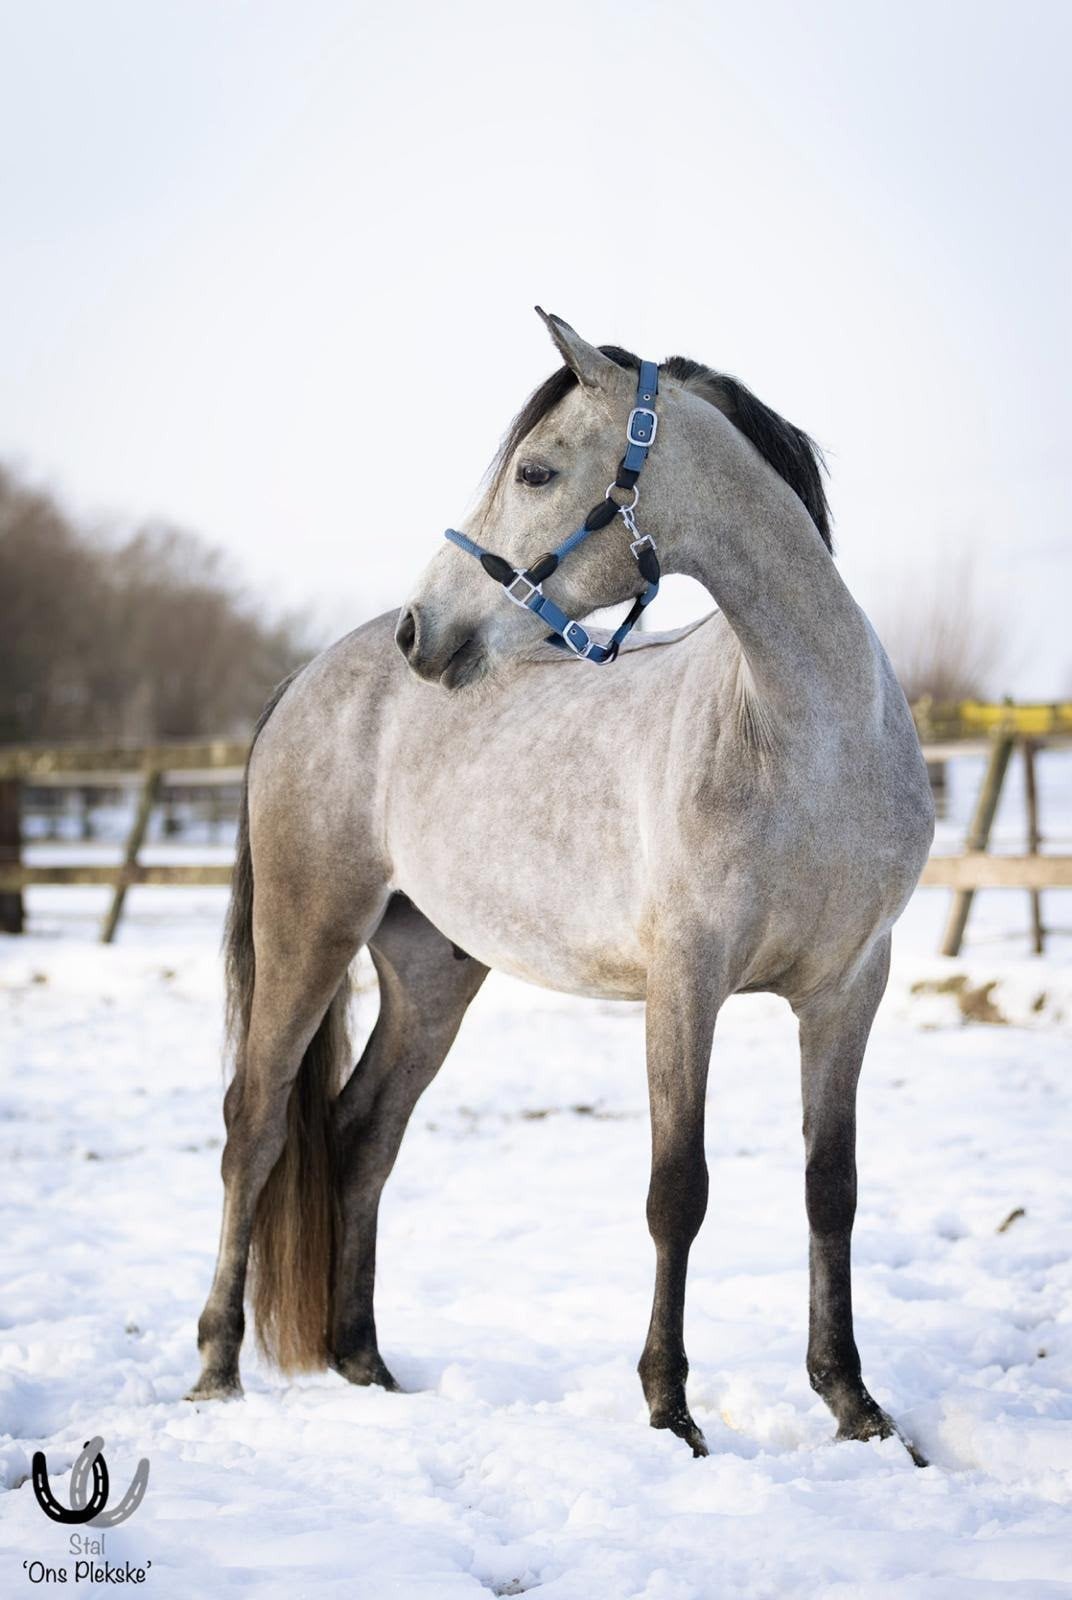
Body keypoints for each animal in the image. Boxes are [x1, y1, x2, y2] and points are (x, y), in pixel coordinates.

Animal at [187, 309, 934, 1462]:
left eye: (536, 470)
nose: (422, 631)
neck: (807, 746)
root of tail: (309, 679)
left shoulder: (850, 988)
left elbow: (832, 1190)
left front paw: (854, 1405)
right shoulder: (685, 985)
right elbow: (679, 1191)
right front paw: (671, 1411)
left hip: (433, 976)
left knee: (363, 1135)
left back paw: (366, 1364)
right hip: (308, 935)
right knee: (256, 1128)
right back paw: (218, 1369)